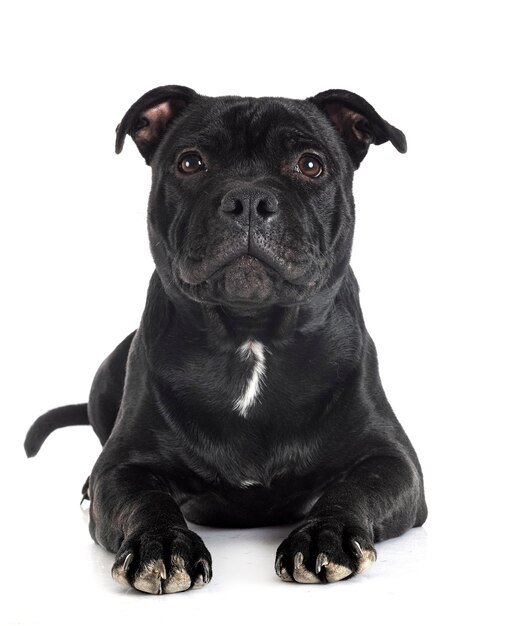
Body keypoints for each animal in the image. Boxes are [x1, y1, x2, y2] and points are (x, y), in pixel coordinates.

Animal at [25, 85, 426, 592]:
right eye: (190, 162)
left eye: (310, 164)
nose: (249, 200)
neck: (249, 335)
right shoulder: (123, 467)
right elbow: (146, 499)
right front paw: (162, 544)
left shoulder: (391, 460)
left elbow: (354, 488)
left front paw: (325, 533)